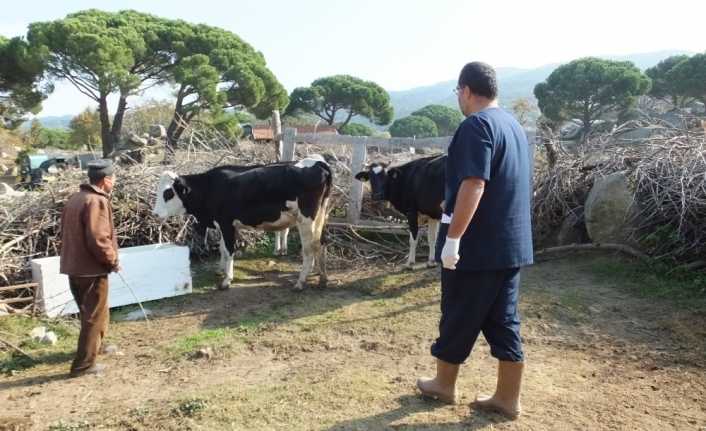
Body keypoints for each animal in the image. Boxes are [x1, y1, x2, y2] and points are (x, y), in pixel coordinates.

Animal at [152, 157, 332, 292]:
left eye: (168, 193)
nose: (155, 214)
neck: (210, 187)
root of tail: (318, 162)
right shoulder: (221, 225)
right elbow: (222, 248)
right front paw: (220, 270)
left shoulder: (226, 224)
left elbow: (229, 250)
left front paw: (227, 280)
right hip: (321, 216)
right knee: (321, 243)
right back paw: (321, 277)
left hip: (306, 220)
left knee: (309, 248)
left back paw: (300, 282)